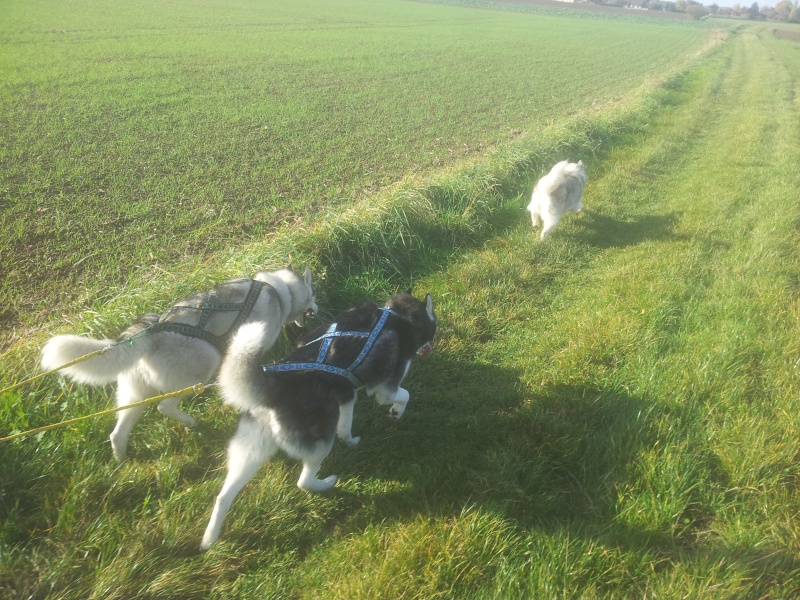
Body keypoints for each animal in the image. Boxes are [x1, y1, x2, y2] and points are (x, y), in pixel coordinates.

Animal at [40, 268, 316, 460]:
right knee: (164, 406)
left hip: (134, 396)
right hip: (204, 366)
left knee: (118, 433)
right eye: (313, 294)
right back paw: (189, 422)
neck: (278, 289)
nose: (316, 308)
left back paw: (122, 462)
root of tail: (151, 332)